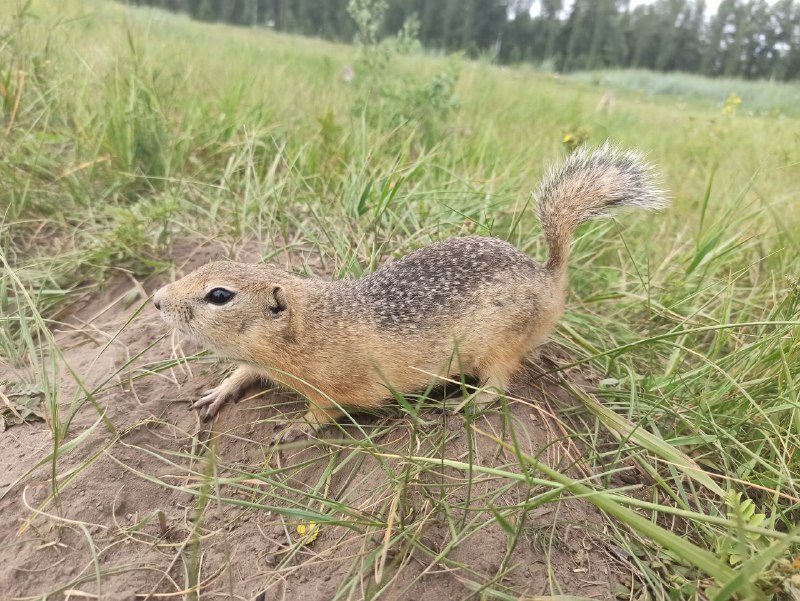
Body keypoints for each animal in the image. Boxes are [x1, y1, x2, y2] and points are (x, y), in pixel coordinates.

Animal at [153, 144, 665, 442]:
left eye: (219, 296)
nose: (156, 299)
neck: (311, 326)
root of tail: (548, 274)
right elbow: (242, 371)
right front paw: (218, 392)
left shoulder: (339, 384)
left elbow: (327, 411)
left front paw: (293, 426)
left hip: (497, 345)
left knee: (499, 388)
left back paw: (461, 404)